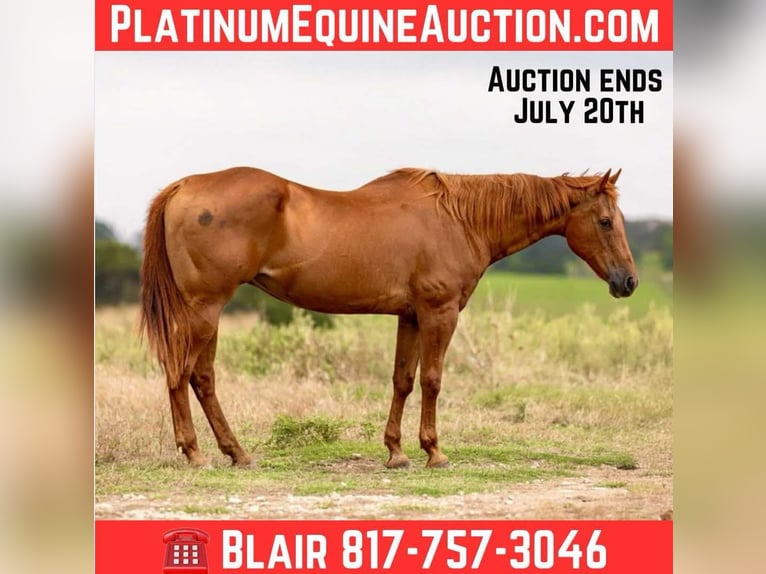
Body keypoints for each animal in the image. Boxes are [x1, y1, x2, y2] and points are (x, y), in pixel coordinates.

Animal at [140, 166, 638, 469]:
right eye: (606, 221)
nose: (628, 281)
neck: (459, 218)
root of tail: (184, 186)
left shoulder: (411, 317)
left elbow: (403, 380)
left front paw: (396, 451)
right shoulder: (439, 314)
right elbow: (433, 380)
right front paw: (434, 451)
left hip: (209, 312)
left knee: (202, 377)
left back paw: (237, 452)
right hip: (205, 309)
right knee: (181, 373)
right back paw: (195, 452)